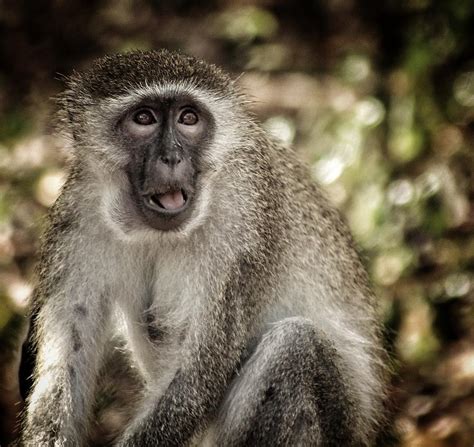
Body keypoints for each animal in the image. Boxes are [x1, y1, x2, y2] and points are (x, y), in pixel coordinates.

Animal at [19, 50, 386, 447]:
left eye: (188, 118)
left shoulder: (243, 223)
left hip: (340, 423)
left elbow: (196, 378)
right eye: (143, 118)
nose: (171, 158)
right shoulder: (77, 216)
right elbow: (67, 359)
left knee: (295, 345)